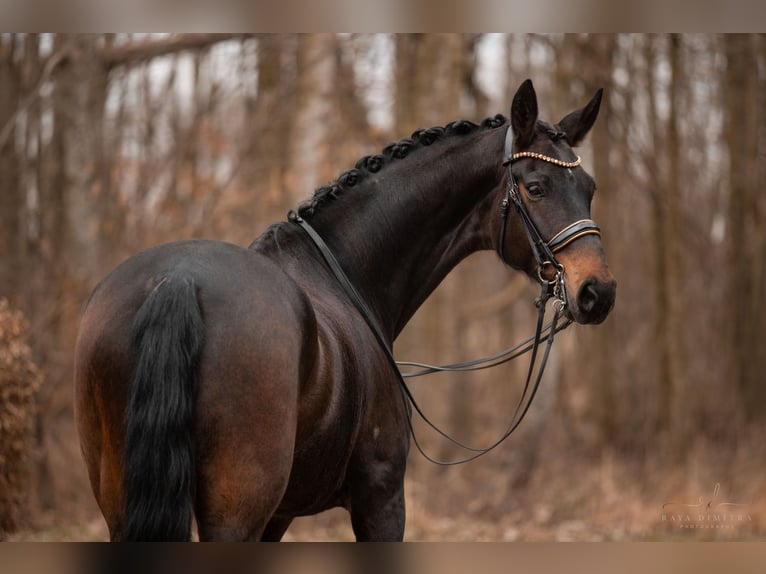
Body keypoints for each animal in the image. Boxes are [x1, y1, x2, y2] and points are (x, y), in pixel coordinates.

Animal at [75, 81, 616, 544]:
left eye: (589, 188)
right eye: (536, 187)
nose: (599, 291)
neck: (345, 274)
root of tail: (179, 280)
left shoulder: (281, 514)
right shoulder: (380, 497)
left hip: (124, 504)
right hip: (236, 511)